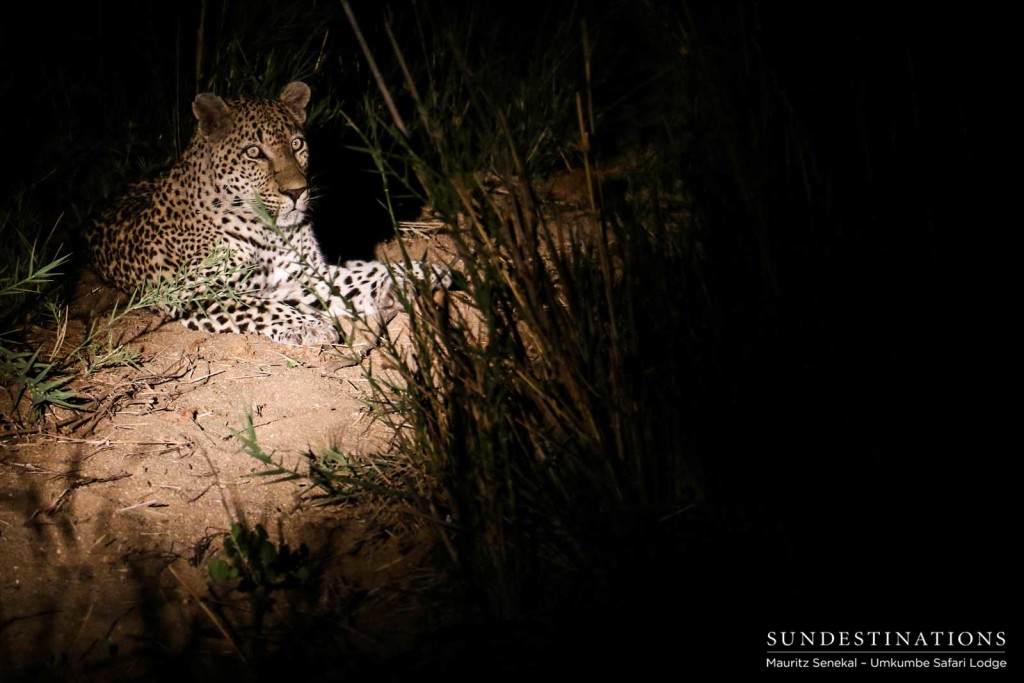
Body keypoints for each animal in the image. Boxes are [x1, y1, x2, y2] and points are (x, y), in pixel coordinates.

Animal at [86, 81, 454, 350]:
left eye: (296, 144)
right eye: (254, 152)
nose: (296, 192)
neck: (270, 231)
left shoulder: (300, 273)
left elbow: (355, 276)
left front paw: (422, 272)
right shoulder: (199, 294)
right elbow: (258, 306)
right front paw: (310, 326)